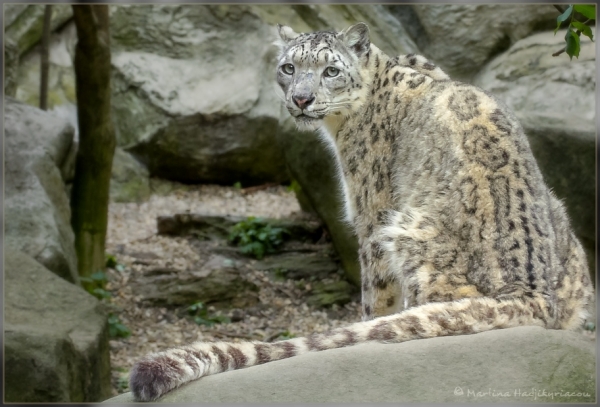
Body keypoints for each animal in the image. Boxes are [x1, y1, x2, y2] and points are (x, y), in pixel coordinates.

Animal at [129, 23, 594, 402]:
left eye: (330, 71)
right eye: (288, 67)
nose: (301, 99)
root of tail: (533, 293)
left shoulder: (371, 213)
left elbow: (375, 297)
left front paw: (369, 322)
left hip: (408, 231)